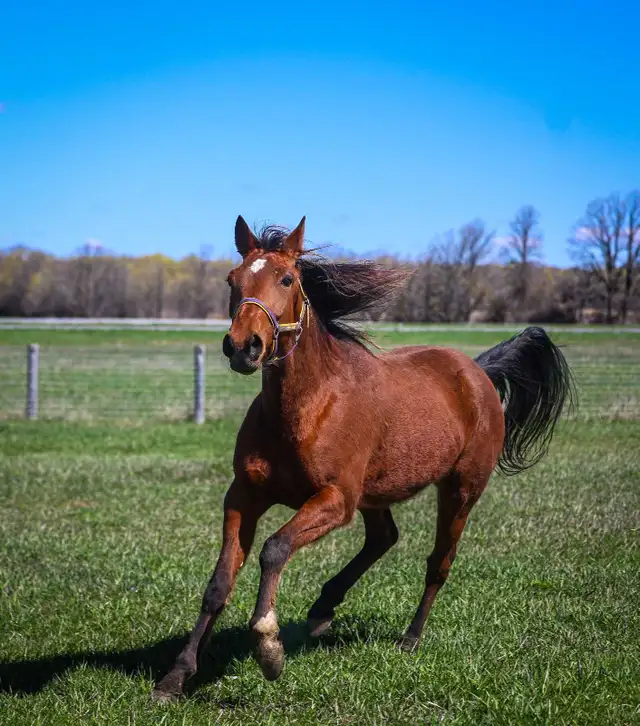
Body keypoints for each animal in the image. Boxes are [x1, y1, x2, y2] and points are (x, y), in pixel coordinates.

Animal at [152, 216, 575, 702]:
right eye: (232, 279)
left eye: (287, 278)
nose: (244, 346)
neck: (307, 407)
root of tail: (478, 372)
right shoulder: (244, 495)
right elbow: (219, 582)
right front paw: (176, 676)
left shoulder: (336, 499)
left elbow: (275, 549)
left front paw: (268, 647)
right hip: (376, 493)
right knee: (384, 538)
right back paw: (323, 608)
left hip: (460, 490)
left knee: (439, 562)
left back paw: (410, 637)